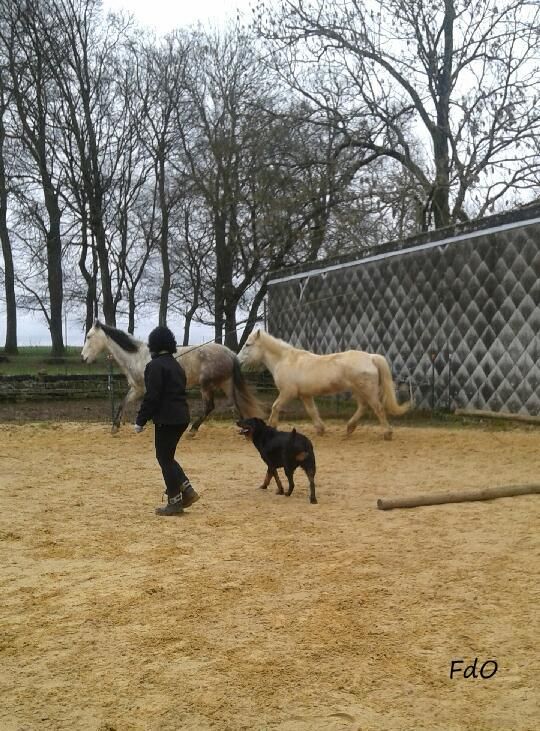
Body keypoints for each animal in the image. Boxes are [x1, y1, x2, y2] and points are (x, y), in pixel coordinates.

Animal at [81, 322, 264, 434]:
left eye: (89, 336)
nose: (83, 358)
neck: (137, 357)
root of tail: (230, 353)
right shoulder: (136, 389)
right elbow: (122, 403)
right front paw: (115, 427)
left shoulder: (145, 391)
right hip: (225, 383)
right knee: (237, 403)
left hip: (206, 385)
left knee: (210, 406)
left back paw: (192, 430)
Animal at [238, 332, 412, 440]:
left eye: (248, 344)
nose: (238, 360)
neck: (286, 360)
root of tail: (371, 357)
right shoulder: (305, 395)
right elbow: (312, 411)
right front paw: (320, 429)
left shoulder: (288, 393)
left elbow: (275, 407)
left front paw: (272, 427)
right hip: (359, 391)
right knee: (363, 407)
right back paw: (350, 428)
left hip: (367, 391)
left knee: (378, 408)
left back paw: (387, 433)